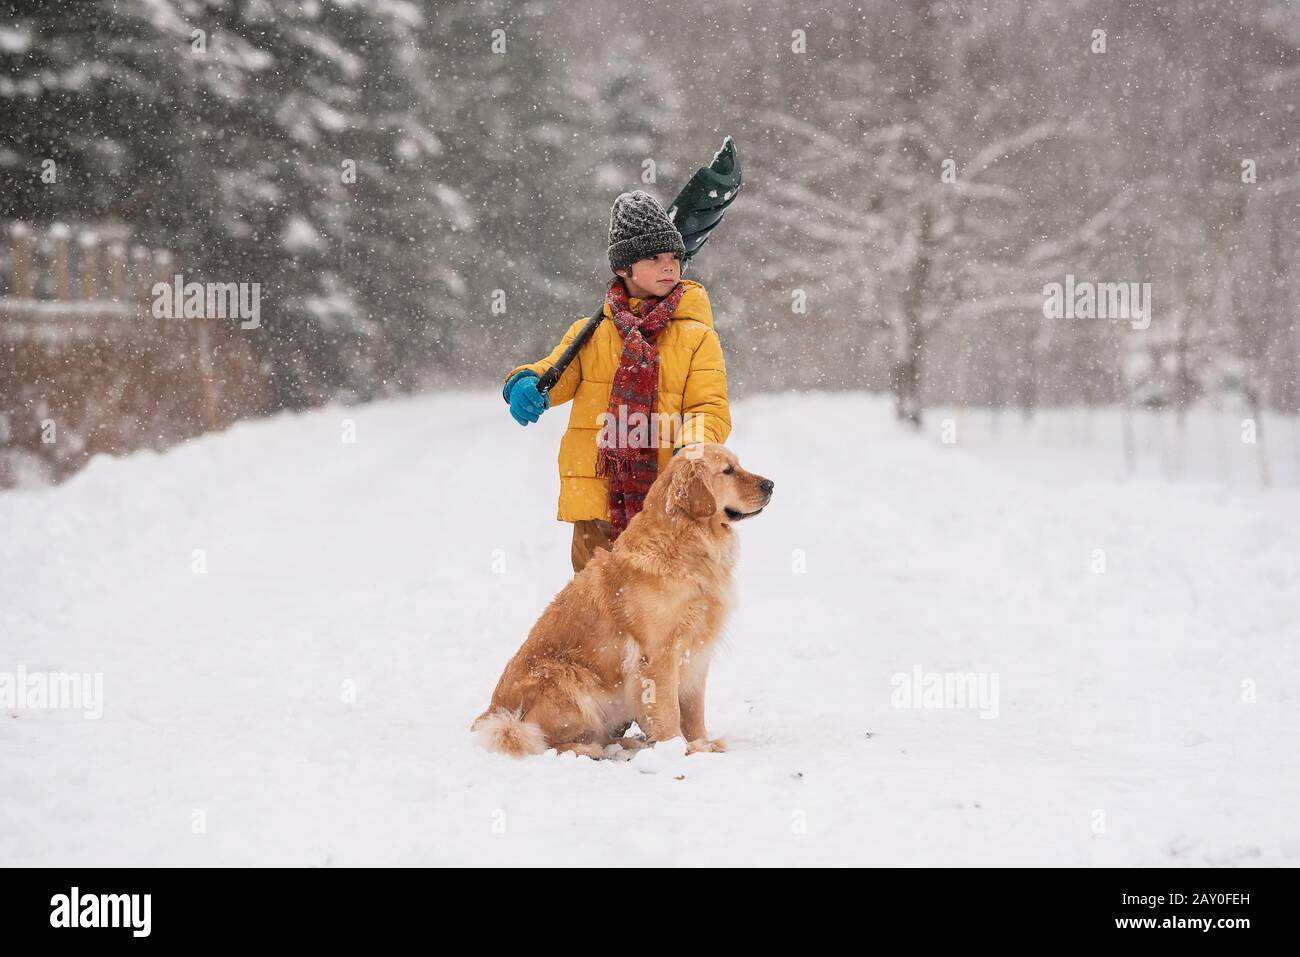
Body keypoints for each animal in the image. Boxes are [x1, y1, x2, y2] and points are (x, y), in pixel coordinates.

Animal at [473, 444, 769, 759]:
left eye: (737, 465)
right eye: (728, 471)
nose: (771, 485)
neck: (684, 544)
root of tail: (491, 713)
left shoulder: (696, 652)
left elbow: (693, 710)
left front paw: (703, 744)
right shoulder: (658, 655)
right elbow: (669, 711)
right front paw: (676, 748)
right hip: (567, 679)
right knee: (535, 739)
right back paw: (585, 748)